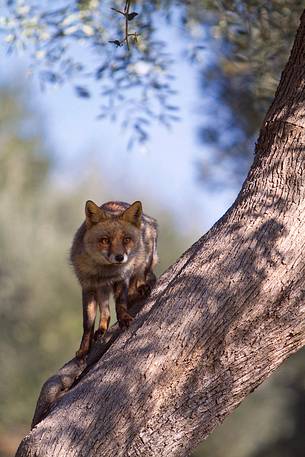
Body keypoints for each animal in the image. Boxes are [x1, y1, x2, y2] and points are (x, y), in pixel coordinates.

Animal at [70, 199, 158, 356]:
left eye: (126, 239)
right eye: (105, 240)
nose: (119, 257)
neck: (105, 272)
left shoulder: (122, 278)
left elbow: (121, 303)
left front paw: (124, 319)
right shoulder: (88, 286)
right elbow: (87, 323)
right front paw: (84, 349)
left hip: (147, 255)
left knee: (140, 276)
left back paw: (142, 287)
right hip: (102, 290)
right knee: (106, 312)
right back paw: (102, 329)